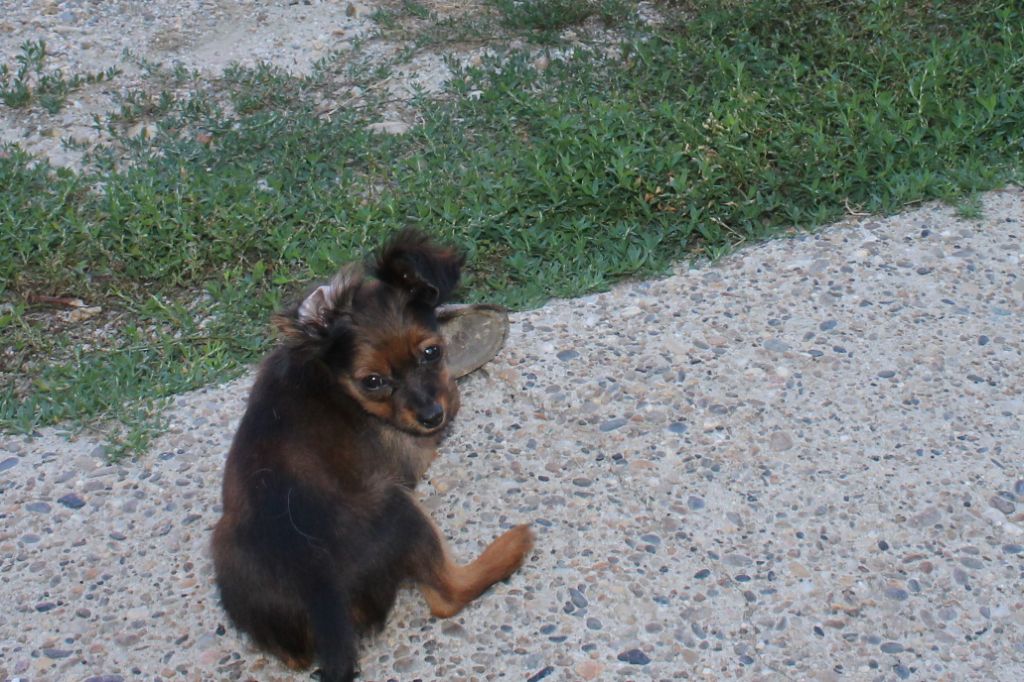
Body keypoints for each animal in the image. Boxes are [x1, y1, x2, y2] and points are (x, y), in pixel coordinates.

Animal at [211, 230, 534, 681]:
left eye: (431, 353)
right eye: (374, 381)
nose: (432, 416)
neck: (331, 378)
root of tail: (322, 595)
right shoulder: (409, 452)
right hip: (398, 505)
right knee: (448, 594)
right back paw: (512, 545)